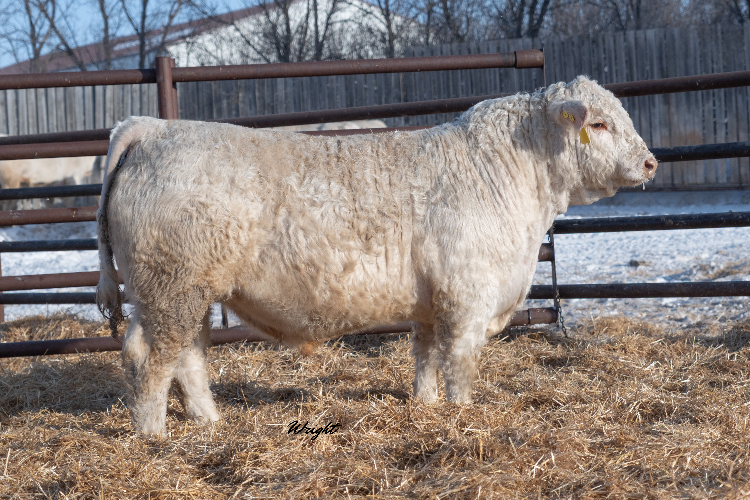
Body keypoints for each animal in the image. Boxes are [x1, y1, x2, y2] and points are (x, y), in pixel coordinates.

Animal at [96, 76, 657, 435]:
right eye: (600, 124)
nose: (651, 161)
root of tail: (155, 128)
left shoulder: (433, 300)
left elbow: (426, 355)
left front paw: (426, 406)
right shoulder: (468, 297)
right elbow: (459, 363)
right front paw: (461, 412)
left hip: (184, 290)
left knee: (188, 355)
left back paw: (209, 421)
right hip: (172, 286)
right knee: (151, 357)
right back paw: (153, 435)